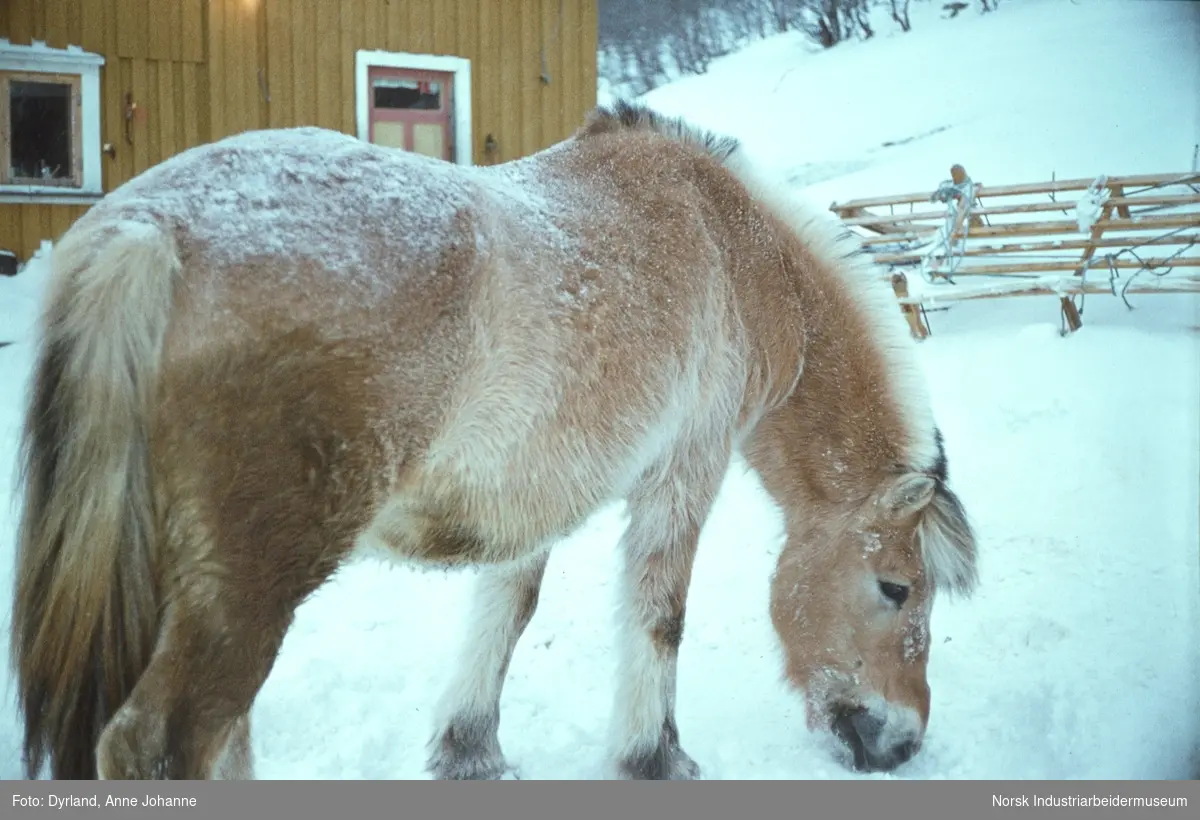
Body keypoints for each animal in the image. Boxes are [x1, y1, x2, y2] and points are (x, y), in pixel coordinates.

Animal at [9, 99, 974, 777]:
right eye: (896, 589)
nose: (901, 743)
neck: (732, 246)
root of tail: (146, 233)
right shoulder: (683, 468)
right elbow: (658, 616)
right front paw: (654, 758)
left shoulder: (529, 492)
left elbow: (506, 607)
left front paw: (469, 750)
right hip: (242, 591)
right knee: (163, 744)